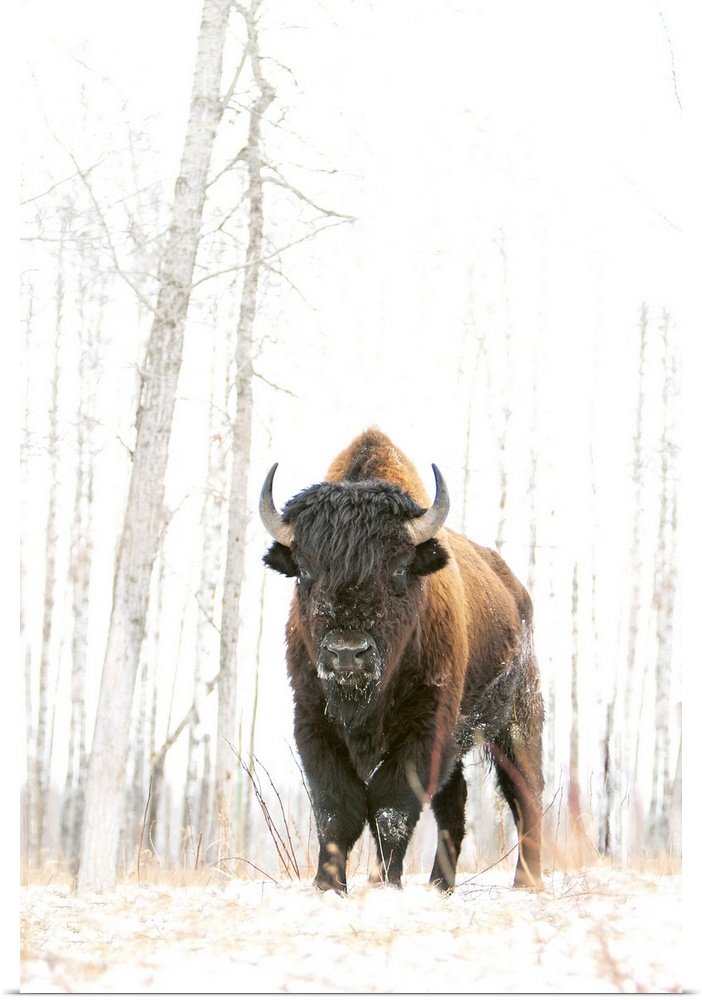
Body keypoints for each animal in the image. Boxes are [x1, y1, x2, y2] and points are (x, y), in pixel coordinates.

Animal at [260, 429, 544, 893]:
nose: (347, 652)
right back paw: (440, 886)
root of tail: (516, 590)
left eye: (397, 568)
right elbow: (337, 808)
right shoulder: (313, 720)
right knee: (455, 803)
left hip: (516, 722)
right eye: (304, 570)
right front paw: (328, 885)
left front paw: (387, 883)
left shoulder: (425, 728)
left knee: (526, 794)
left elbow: (390, 807)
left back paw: (526, 882)